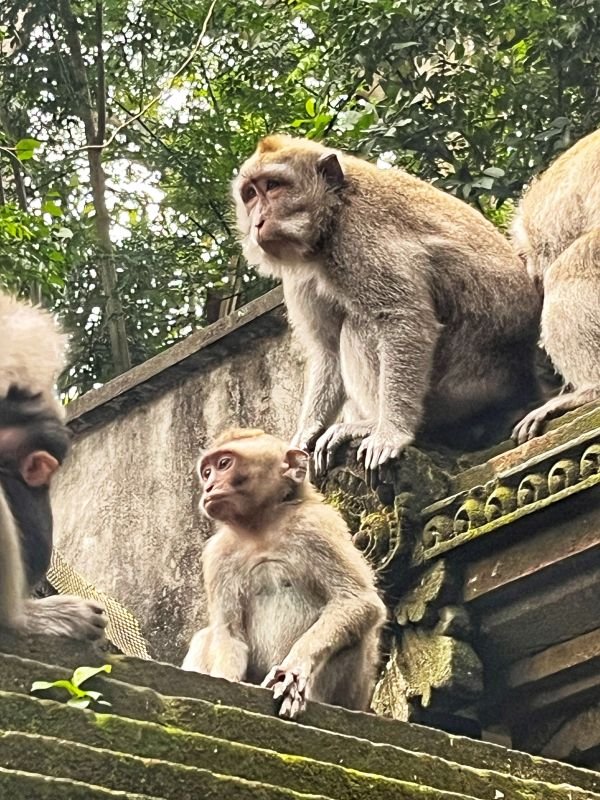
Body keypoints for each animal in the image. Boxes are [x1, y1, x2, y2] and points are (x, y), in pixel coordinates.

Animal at [182, 428, 386, 719]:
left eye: (223, 464)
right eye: (207, 472)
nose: (209, 488)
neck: (260, 528)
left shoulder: (316, 525)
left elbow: (356, 600)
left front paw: (293, 670)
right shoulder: (217, 556)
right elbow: (229, 632)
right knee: (206, 636)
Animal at [232, 135, 541, 470]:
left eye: (273, 185)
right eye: (250, 194)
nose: (258, 222)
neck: (333, 211)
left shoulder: (359, 237)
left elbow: (404, 317)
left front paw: (391, 432)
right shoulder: (300, 276)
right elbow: (327, 349)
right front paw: (307, 431)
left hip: (458, 390)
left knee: (360, 325)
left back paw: (371, 424)